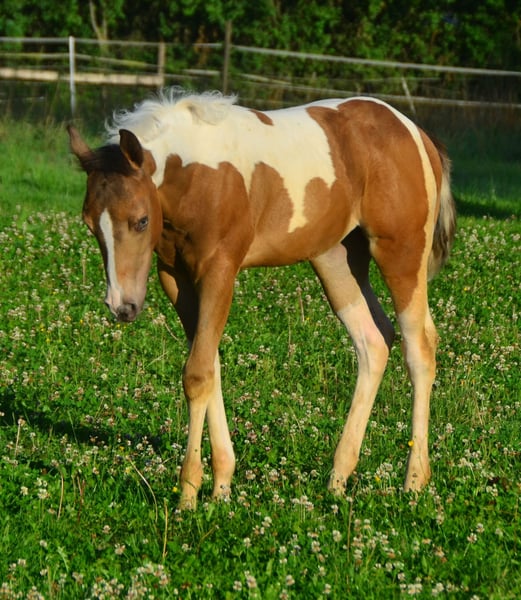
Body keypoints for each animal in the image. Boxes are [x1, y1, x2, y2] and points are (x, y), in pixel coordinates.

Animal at [68, 89, 456, 509]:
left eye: (140, 220)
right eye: (90, 224)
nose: (122, 306)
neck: (197, 175)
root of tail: (416, 133)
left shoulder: (220, 271)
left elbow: (197, 373)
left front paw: (188, 493)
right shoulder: (175, 278)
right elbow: (209, 366)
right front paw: (221, 484)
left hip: (401, 253)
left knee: (419, 349)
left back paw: (414, 480)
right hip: (336, 259)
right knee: (372, 341)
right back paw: (338, 478)